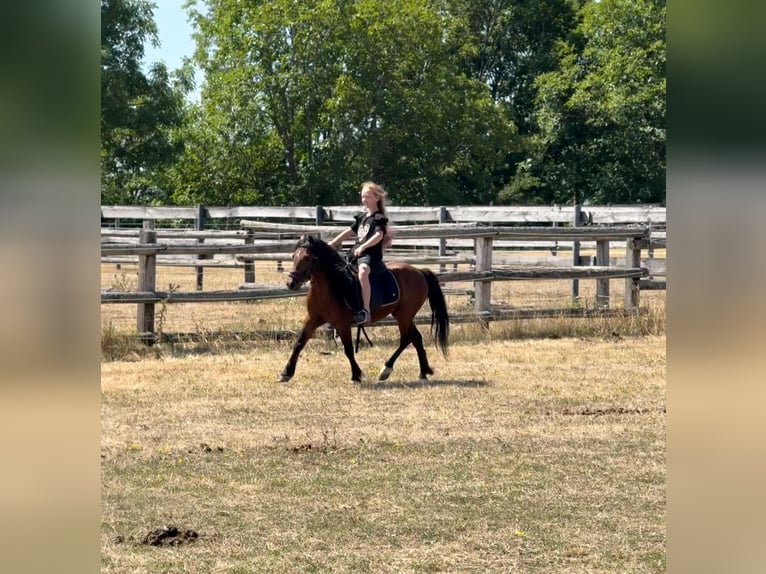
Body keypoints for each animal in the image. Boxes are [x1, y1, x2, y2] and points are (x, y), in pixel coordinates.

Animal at [279, 235, 449, 383]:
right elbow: (299, 343)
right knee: (416, 338)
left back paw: (386, 369)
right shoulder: (313, 318)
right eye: (293, 256)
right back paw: (423, 372)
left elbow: (348, 349)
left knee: (406, 338)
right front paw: (286, 373)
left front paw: (356, 375)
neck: (332, 285)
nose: (291, 283)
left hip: (403, 316)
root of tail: (419, 271)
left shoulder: (342, 324)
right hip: (404, 315)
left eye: (307, 258)